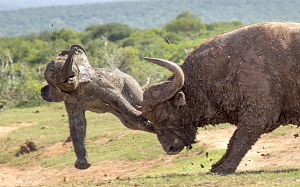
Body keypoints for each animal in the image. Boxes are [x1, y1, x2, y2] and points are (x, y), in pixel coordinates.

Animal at [142, 21, 300, 174]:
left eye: (163, 116)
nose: (169, 148)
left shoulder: (257, 116)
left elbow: (242, 139)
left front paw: (225, 167)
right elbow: (233, 140)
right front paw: (217, 165)